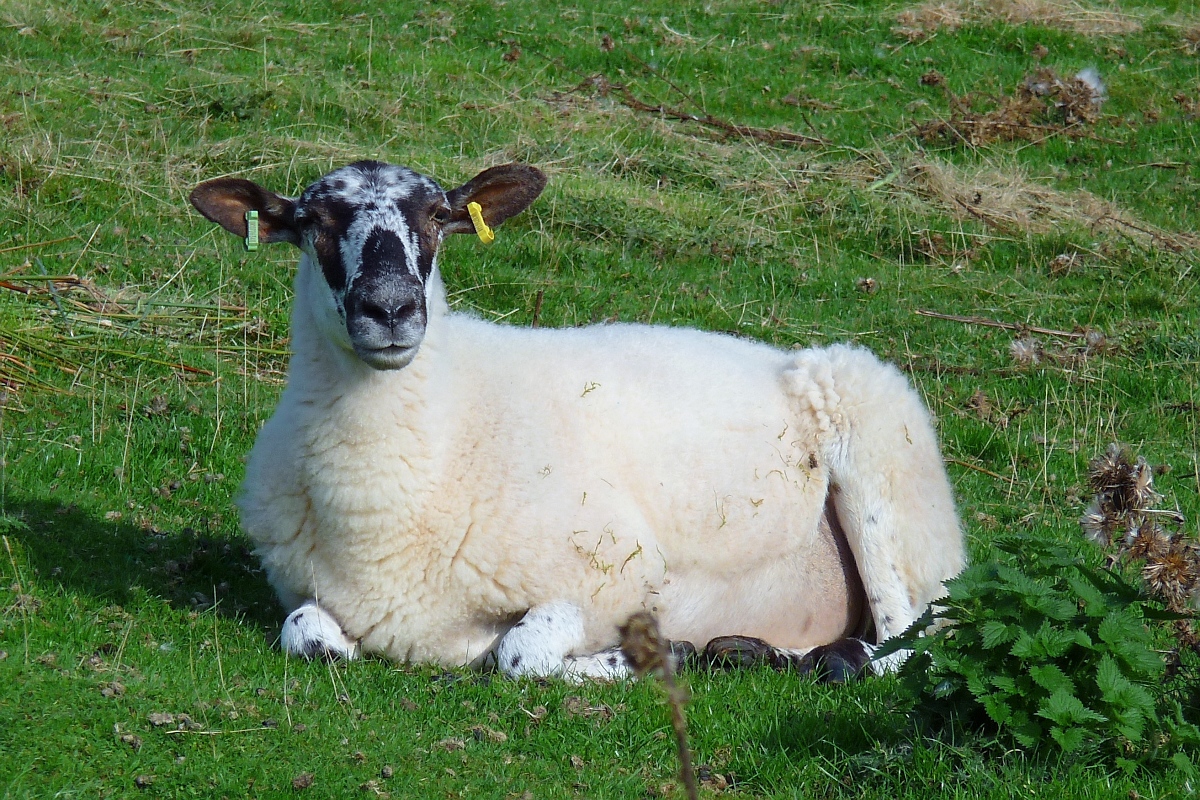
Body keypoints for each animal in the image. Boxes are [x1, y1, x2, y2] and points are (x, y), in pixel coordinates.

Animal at [189, 160, 964, 681]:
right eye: (312, 221)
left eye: (438, 215)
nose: (391, 308)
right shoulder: (306, 594)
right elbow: (307, 636)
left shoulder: (613, 577)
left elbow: (519, 654)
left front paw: (646, 658)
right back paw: (753, 651)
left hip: (887, 489)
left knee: (910, 640)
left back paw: (828, 658)